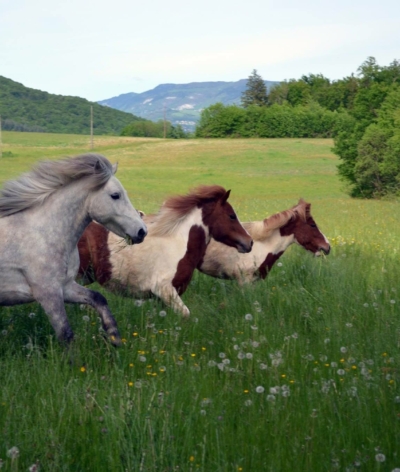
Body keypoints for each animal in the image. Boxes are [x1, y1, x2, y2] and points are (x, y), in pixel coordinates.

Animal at [0, 153, 147, 344]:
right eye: (115, 195)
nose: (142, 231)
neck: (43, 233)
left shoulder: (67, 286)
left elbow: (98, 298)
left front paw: (114, 337)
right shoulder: (48, 293)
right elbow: (66, 334)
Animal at [78, 186, 253, 316]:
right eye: (231, 216)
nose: (249, 242)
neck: (178, 245)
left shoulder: (161, 298)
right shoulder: (165, 290)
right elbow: (186, 315)